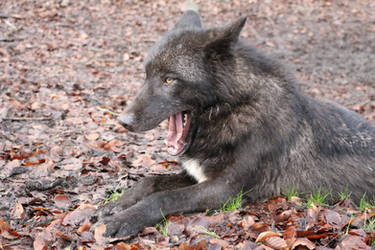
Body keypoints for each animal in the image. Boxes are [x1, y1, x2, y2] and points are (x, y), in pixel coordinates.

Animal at [97, 10, 375, 236]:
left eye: (169, 80)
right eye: (146, 75)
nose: (123, 121)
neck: (235, 109)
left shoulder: (224, 189)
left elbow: (163, 198)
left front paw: (123, 220)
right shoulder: (197, 176)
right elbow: (150, 181)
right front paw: (117, 205)